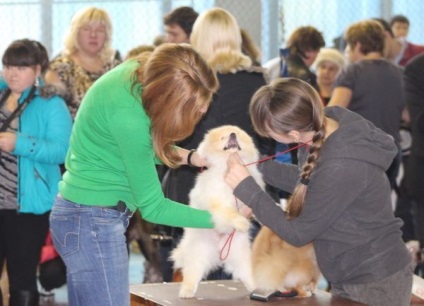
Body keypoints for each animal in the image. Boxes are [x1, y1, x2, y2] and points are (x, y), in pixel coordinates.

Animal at [170, 123, 264, 296]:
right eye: (222, 137)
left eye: (237, 135)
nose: (232, 134)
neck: (227, 167)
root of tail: (218, 251)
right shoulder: (217, 202)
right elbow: (230, 212)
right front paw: (242, 223)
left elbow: (259, 205)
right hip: (199, 254)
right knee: (191, 272)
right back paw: (187, 291)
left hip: (240, 256)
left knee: (247, 273)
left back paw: (255, 288)